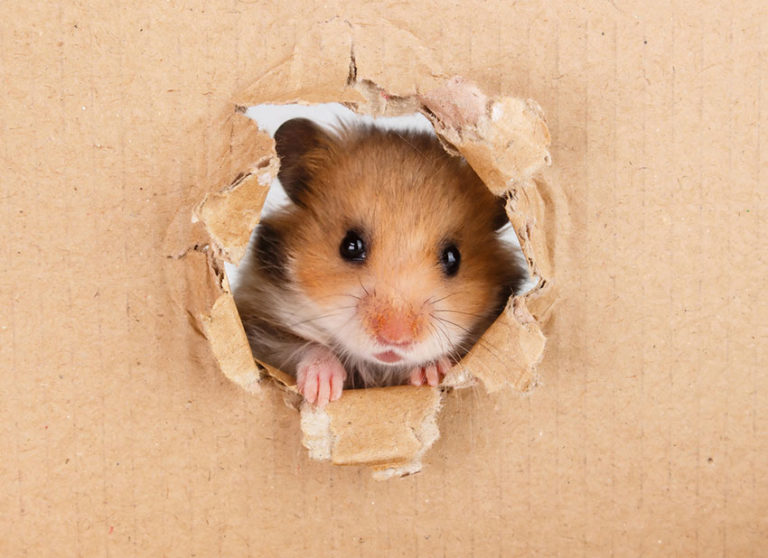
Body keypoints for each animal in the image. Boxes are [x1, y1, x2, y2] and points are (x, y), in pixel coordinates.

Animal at [233, 117, 526, 407]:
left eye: (453, 258)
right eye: (350, 245)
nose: (395, 338)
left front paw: (430, 373)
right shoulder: (260, 327)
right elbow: (304, 347)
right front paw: (323, 390)